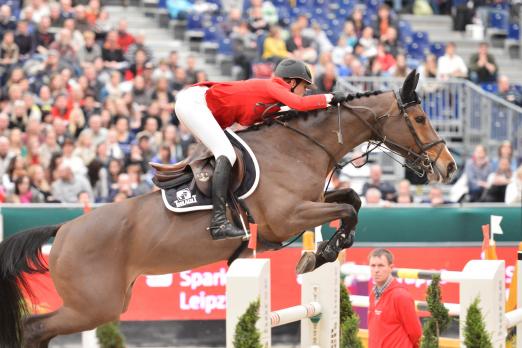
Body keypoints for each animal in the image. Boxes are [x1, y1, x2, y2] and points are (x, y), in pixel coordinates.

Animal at [0, 69, 456, 346]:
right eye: (419, 119)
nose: (449, 167)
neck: (301, 147)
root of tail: (63, 231)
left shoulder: (307, 204)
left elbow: (351, 201)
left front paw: (323, 251)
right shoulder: (287, 217)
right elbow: (345, 211)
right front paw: (320, 253)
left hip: (104, 303)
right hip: (95, 305)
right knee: (33, 327)